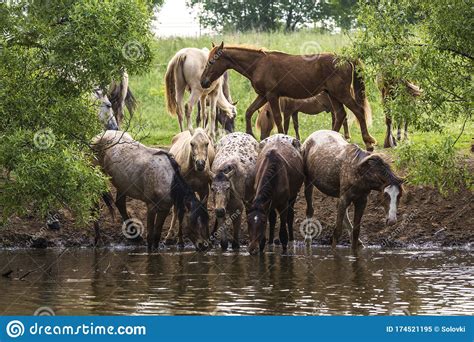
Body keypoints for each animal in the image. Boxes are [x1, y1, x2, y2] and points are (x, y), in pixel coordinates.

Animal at [201, 41, 378, 151]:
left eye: (211, 62)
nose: (203, 82)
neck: (259, 64)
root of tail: (345, 58)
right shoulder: (263, 96)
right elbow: (249, 112)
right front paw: (250, 134)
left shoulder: (272, 96)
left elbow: (278, 119)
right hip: (333, 95)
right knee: (341, 114)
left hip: (341, 93)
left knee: (358, 111)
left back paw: (368, 143)